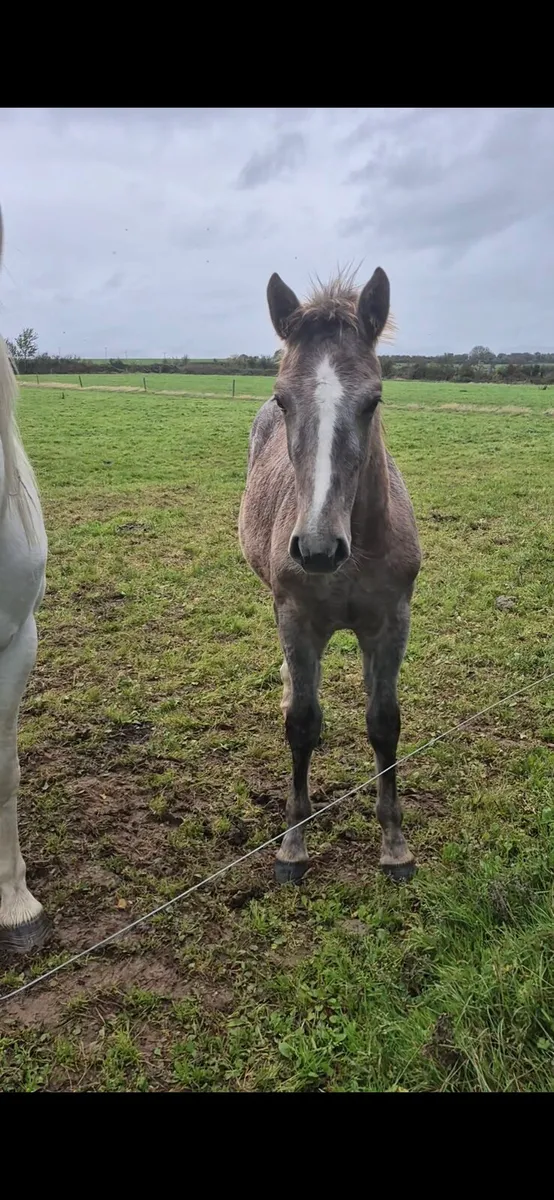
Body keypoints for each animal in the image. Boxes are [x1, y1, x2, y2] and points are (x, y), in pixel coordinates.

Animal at [239, 267, 421, 884]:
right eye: (282, 398)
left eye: (374, 400)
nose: (318, 550)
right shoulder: (297, 620)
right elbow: (302, 724)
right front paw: (293, 847)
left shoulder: (390, 624)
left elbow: (384, 722)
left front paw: (394, 846)